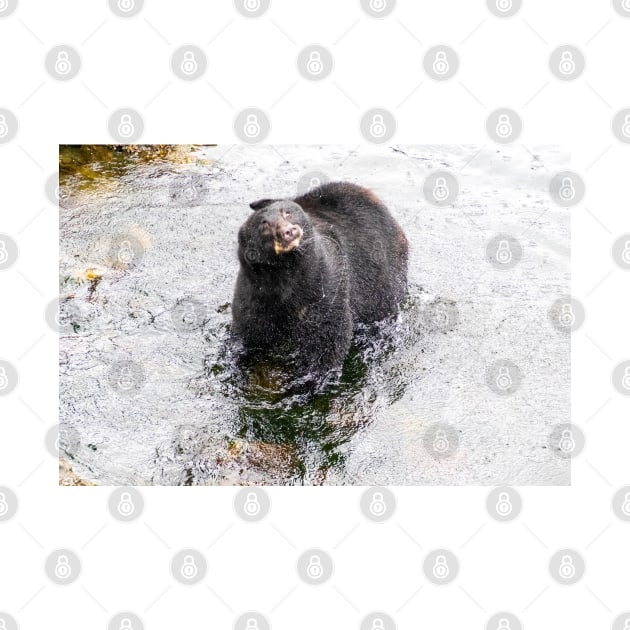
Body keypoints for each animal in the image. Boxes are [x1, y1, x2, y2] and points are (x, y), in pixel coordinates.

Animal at [232, 183, 410, 388]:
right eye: (264, 224)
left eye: (287, 212)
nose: (287, 232)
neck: (284, 277)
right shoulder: (254, 295)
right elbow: (249, 333)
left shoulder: (324, 283)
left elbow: (327, 337)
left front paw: (307, 380)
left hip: (383, 278)